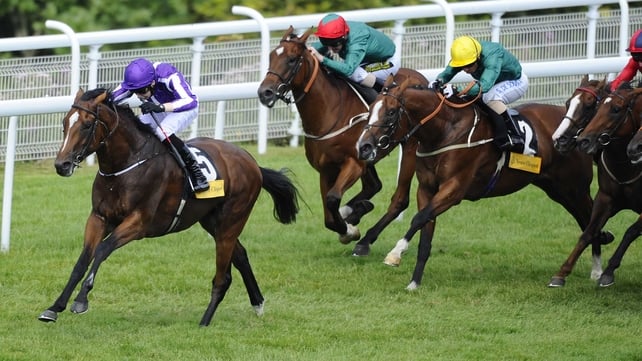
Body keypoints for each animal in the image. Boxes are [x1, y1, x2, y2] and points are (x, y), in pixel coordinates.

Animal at [38, 88, 300, 326]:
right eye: (64, 123)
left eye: (86, 124)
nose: (62, 165)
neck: (126, 164)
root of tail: (252, 162)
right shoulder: (99, 217)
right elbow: (83, 260)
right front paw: (54, 308)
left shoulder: (139, 223)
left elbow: (102, 250)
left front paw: (81, 300)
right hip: (213, 222)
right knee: (241, 256)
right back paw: (257, 304)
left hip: (231, 220)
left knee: (222, 277)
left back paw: (204, 322)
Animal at [255, 26, 424, 255]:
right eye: (271, 57)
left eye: (291, 59)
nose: (265, 92)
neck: (330, 112)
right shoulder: (327, 169)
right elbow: (329, 214)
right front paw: (350, 221)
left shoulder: (353, 163)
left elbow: (333, 199)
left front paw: (350, 230)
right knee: (374, 186)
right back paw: (357, 210)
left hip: (409, 148)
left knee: (399, 199)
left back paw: (364, 237)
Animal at [358, 76, 608, 290]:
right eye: (370, 110)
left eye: (391, 113)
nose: (364, 147)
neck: (445, 130)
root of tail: (577, 131)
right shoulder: (427, 189)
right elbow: (425, 231)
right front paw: (414, 282)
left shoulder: (454, 189)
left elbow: (419, 218)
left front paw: (395, 253)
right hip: (558, 190)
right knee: (586, 220)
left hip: (575, 188)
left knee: (591, 220)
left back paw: (596, 271)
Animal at [572, 83, 642, 286]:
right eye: (597, 108)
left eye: (616, 110)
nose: (583, 141)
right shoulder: (606, 198)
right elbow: (589, 230)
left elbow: (631, 231)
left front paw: (608, 272)